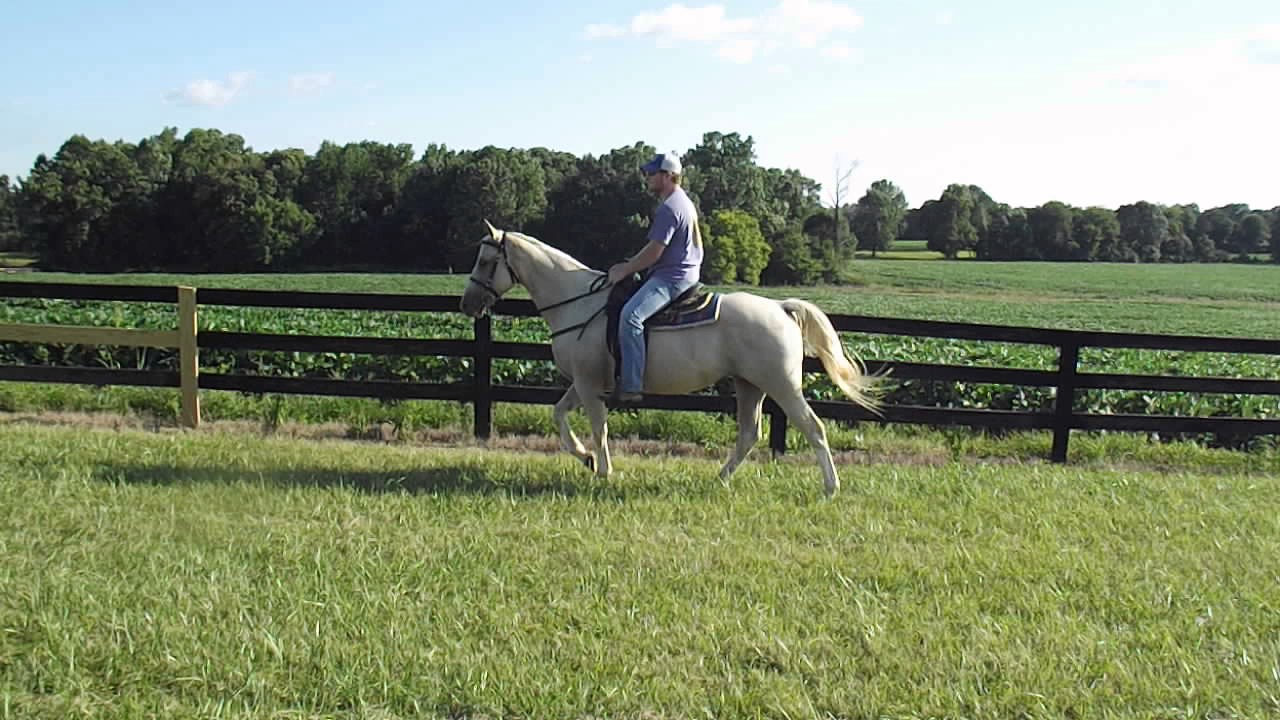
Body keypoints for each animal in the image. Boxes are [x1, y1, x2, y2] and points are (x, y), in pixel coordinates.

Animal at [458, 220, 885, 496]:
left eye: (485, 262)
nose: (467, 304)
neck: (578, 303)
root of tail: (781, 308)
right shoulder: (583, 384)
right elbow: (559, 415)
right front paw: (586, 459)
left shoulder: (589, 385)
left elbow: (598, 428)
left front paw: (603, 469)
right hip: (750, 386)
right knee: (749, 434)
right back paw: (720, 478)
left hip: (781, 386)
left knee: (813, 428)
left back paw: (830, 487)